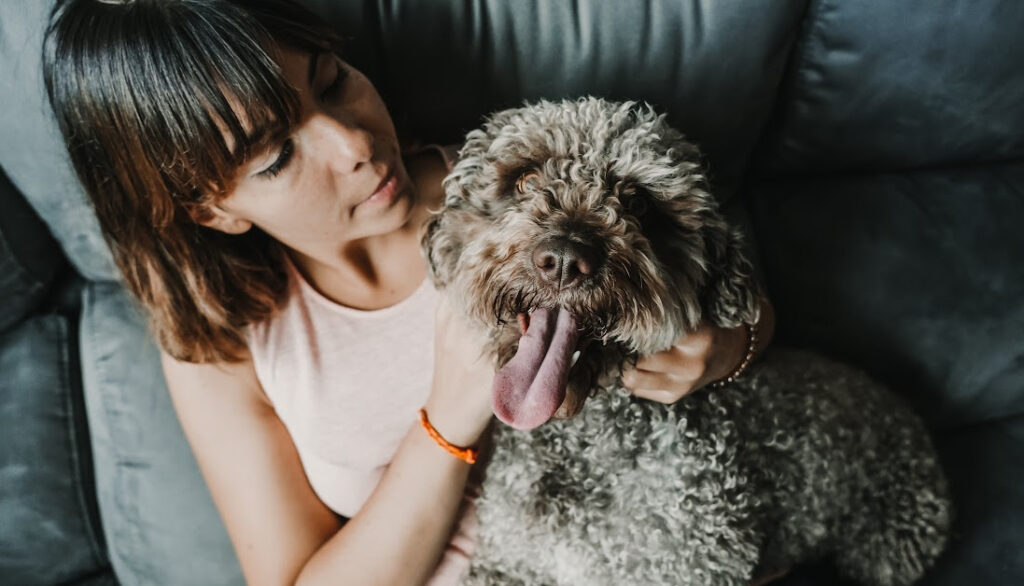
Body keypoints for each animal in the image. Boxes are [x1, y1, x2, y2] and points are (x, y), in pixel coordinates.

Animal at [419, 98, 946, 581]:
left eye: (637, 202)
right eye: (525, 180)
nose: (565, 258)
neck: (584, 447)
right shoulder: (510, 563)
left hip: (888, 546)